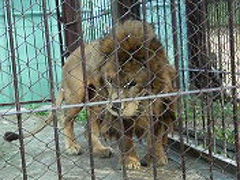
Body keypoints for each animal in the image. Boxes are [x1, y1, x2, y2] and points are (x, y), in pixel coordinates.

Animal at [3, 20, 176, 169]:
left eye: (132, 83)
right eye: (110, 80)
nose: (116, 106)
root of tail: (70, 56)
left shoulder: (162, 107)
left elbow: (158, 136)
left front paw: (158, 157)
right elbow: (126, 139)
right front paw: (130, 161)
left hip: (98, 101)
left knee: (89, 127)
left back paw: (101, 150)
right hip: (78, 96)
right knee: (66, 119)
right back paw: (72, 146)